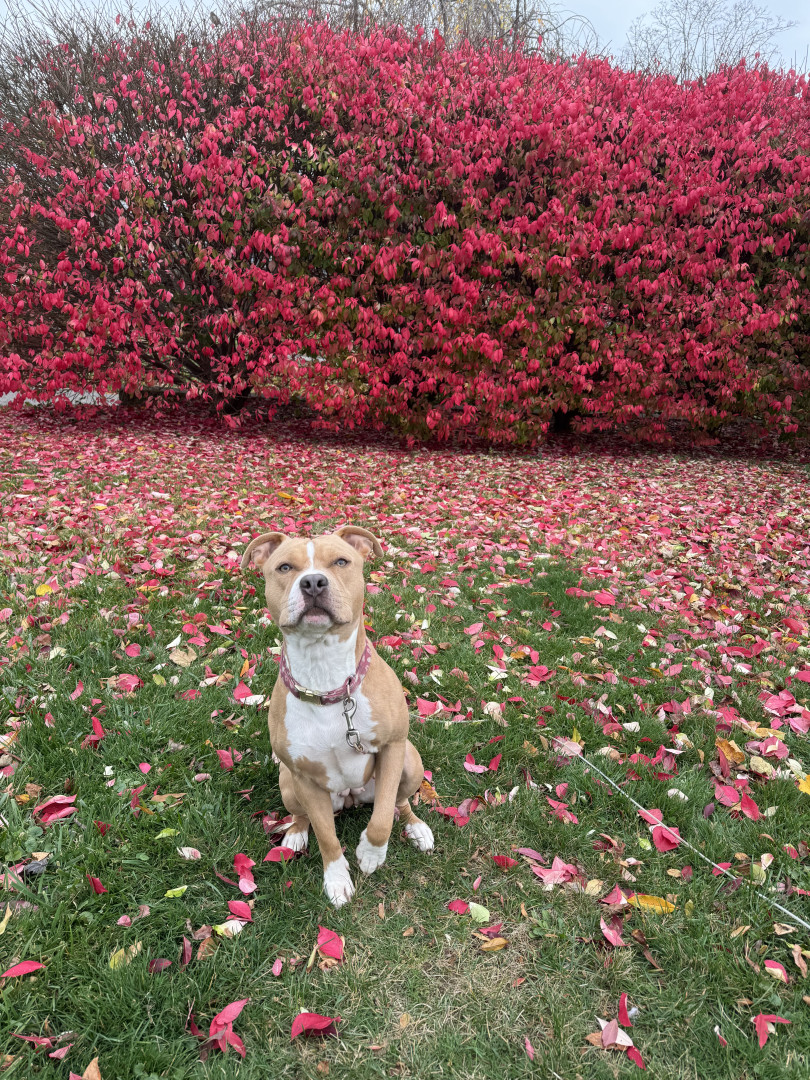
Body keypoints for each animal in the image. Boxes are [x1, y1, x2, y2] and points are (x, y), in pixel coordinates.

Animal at [241, 524, 434, 907]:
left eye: (341, 561)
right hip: (287, 782)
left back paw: (416, 827)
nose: (313, 582)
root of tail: (350, 798)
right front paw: (337, 878)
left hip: (410, 761)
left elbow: (381, 818)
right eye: (284, 567)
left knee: (400, 801)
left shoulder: (392, 748)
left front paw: (372, 853)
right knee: (302, 815)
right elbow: (326, 836)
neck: (326, 681)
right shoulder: (303, 778)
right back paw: (296, 833)